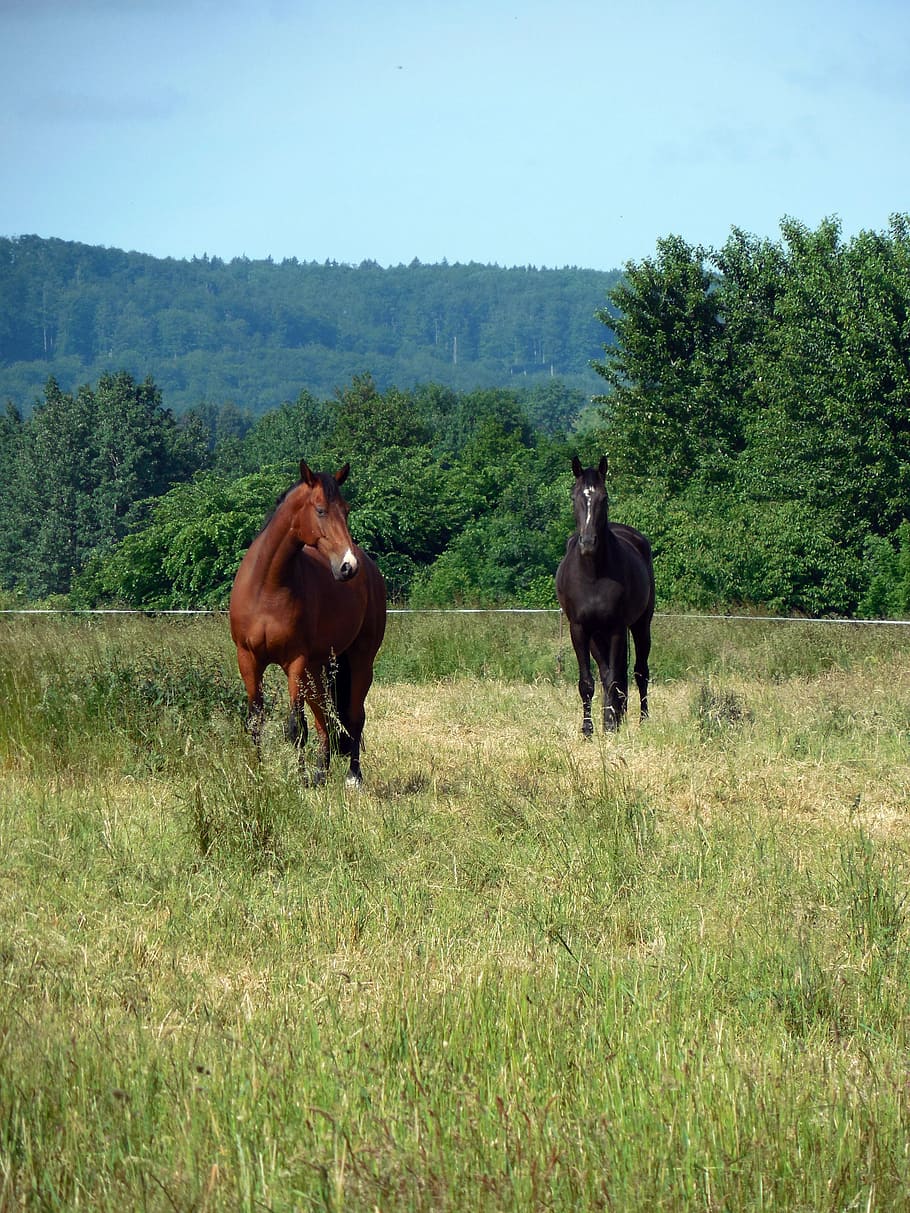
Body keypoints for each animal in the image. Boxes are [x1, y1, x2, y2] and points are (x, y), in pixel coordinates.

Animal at [229, 460, 387, 786]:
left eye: (346, 510)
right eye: (321, 510)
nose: (348, 566)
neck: (267, 587)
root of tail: (371, 570)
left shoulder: (295, 662)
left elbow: (295, 727)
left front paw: (297, 779)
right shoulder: (248, 659)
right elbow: (257, 722)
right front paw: (260, 774)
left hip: (359, 660)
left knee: (354, 716)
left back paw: (352, 777)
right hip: (317, 668)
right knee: (324, 718)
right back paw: (320, 774)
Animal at [555, 455, 654, 734]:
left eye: (604, 497)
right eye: (574, 496)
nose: (588, 542)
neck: (592, 575)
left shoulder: (616, 628)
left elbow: (613, 680)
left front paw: (610, 726)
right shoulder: (579, 629)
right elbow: (588, 682)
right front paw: (588, 729)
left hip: (641, 625)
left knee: (639, 672)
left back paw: (641, 720)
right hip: (595, 636)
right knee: (606, 672)